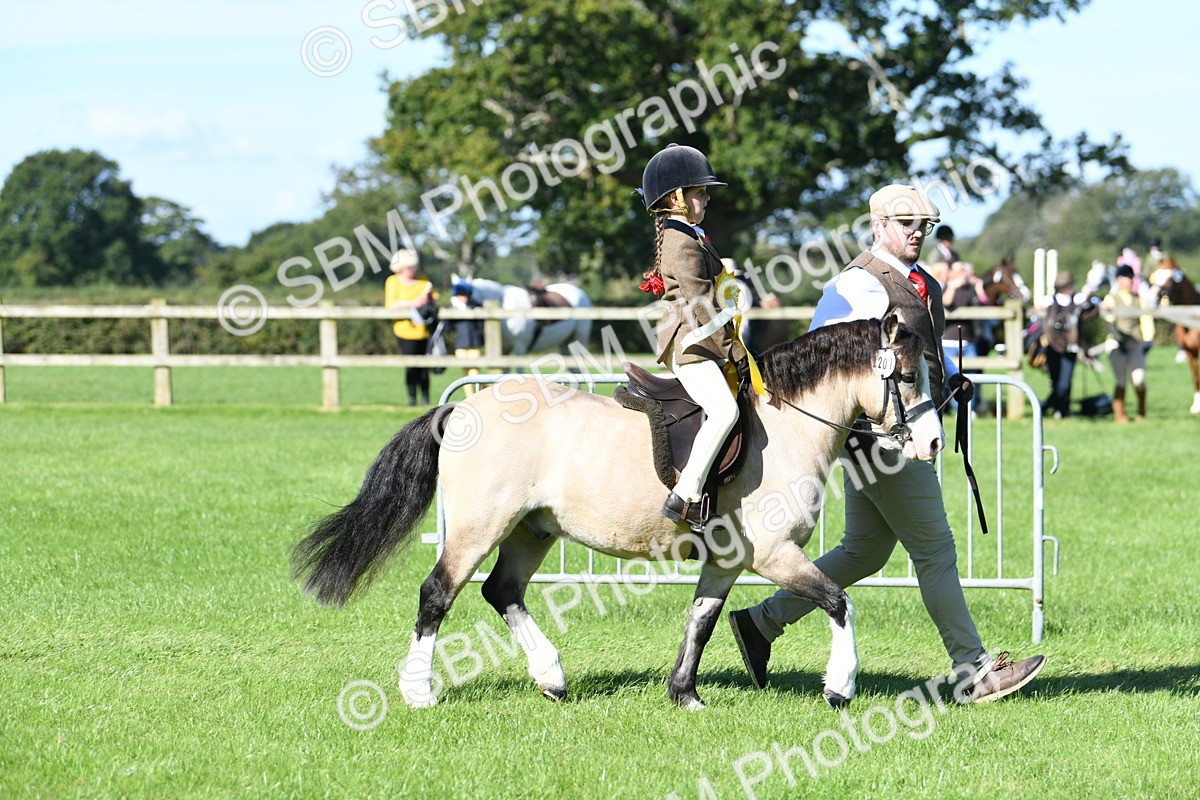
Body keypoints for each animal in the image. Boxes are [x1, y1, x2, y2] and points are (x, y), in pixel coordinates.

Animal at [291, 312, 943, 710]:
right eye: (910, 375)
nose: (934, 444)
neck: (785, 426)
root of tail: (461, 409)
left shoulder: (727, 561)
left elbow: (701, 620)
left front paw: (685, 695)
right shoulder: (775, 555)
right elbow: (838, 601)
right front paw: (840, 687)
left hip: (531, 531)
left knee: (502, 592)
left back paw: (552, 678)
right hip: (479, 528)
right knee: (438, 594)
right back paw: (420, 691)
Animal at [450, 274, 592, 355]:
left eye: (467, 297)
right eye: (453, 299)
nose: (457, 320)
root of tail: (581, 293)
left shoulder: (520, 347)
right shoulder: (504, 350)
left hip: (579, 339)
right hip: (565, 343)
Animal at [1148, 259, 1200, 414]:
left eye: (1171, 278)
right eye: (1156, 275)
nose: (1154, 295)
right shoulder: (1189, 353)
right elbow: (1196, 378)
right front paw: (1196, 406)